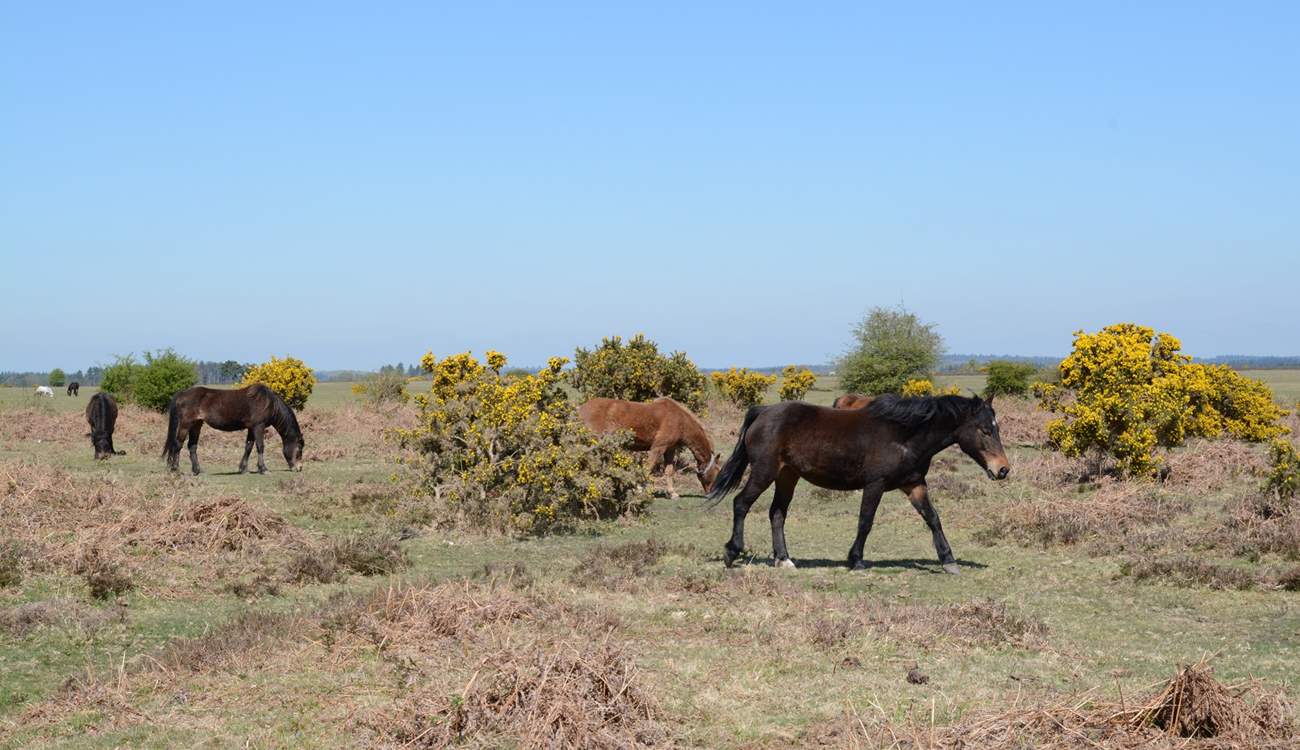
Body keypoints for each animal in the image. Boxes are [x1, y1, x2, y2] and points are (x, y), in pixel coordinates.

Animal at [163, 384, 304, 475]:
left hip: (197, 424)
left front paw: (243, 469)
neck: (268, 403)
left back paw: (197, 470)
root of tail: (182, 393)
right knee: (178, 444)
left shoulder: (251, 428)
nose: (299, 468)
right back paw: (175, 469)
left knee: (192, 446)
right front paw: (263, 469)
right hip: (186, 424)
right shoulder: (259, 426)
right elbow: (260, 447)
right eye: (299, 448)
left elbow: (249, 446)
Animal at [578, 397, 722, 498]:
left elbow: (668, 471)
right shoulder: (658, 448)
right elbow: (648, 468)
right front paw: (639, 489)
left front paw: (672, 493)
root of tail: (580, 408)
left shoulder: (670, 450)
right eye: (718, 471)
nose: (711, 493)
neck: (679, 420)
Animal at [706, 394, 1010, 572]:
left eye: (996, 428)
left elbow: (933, 518)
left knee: (777, 513)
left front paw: (949, 561)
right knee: (741, 504)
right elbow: (866, 521)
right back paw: (732, 552)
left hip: (787, 475)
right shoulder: (875, 484)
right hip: (765, 472)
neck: (904, 436)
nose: (1003, 469)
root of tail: (764, 411)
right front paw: (856, 560)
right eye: (985, 430)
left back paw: (784, 559)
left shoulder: (914, 485)